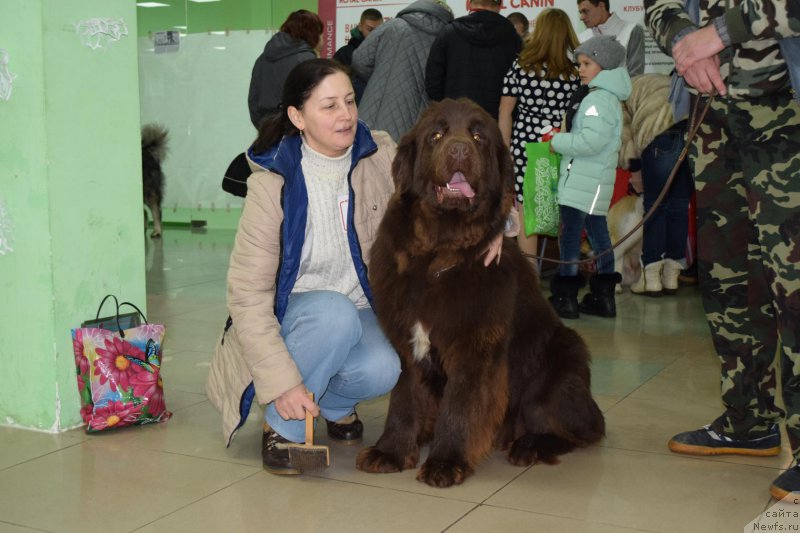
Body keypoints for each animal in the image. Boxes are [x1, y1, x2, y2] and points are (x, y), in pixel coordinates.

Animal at [356, 98, 608, 486]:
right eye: (436, 135)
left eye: (478, 137)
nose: (460, 149)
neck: (440, 252)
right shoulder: (407, 345)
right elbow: (404, 400)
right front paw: (391, 451)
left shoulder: (475, 348)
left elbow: (460, 407)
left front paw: (445, 463)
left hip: (560, 361)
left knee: (578, 429)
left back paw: (529, 445)